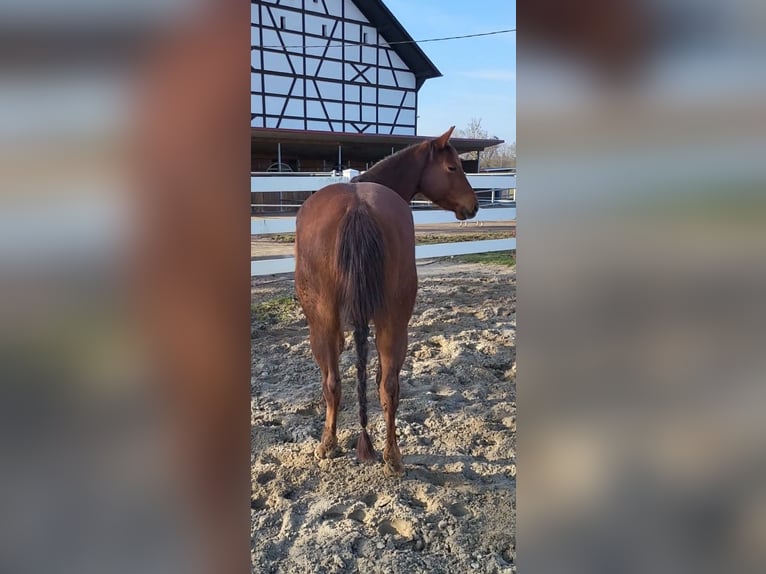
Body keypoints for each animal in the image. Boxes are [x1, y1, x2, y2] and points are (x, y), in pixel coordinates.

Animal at [294, 126, 478, 476]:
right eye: (452, 168)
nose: (474, 206)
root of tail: (357, 207)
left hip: (323, 322)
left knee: (334, 382)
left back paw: (329, 445)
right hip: (391, 321)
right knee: (387, 386)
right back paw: (392, 457)